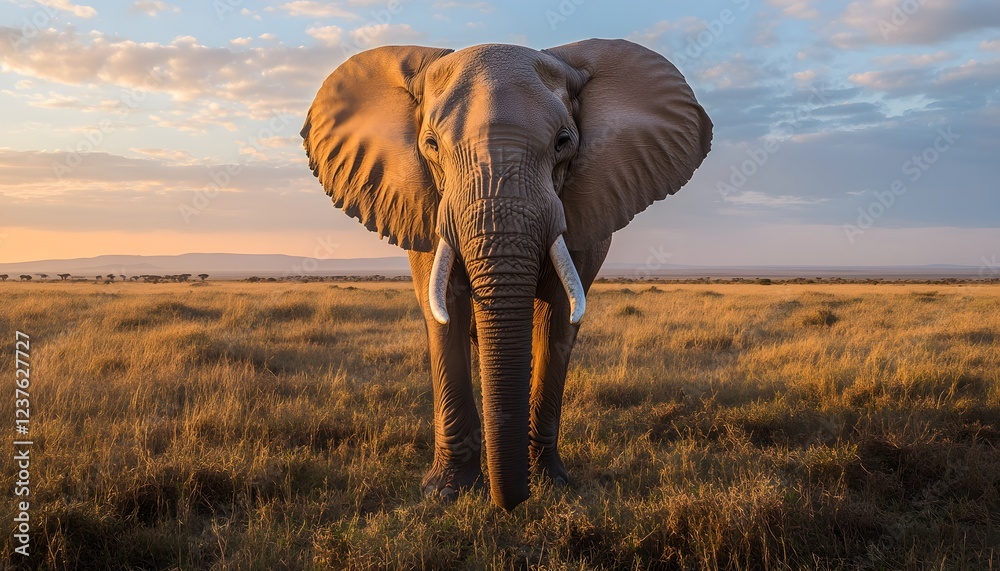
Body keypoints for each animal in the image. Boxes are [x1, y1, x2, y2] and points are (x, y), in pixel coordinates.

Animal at [301, 39, 712, 510]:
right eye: (431, 145)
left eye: (564, 142)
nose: (511, 504)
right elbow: (445, 313)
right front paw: (446, 493)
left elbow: (557, 320)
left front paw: (552, 483)